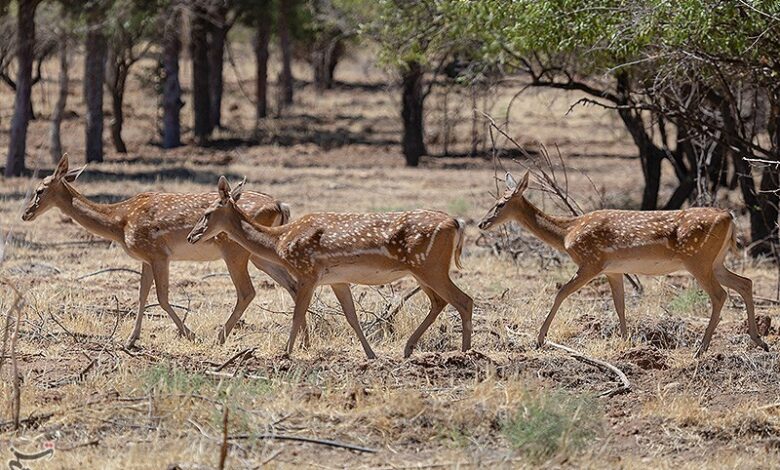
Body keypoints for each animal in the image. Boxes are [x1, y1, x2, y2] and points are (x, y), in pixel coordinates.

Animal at [21, 156, 298, 346]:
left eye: (39, 190)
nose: (26, 214)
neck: (119, 222)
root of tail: (280, 205)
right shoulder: (145, 257)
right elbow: (142, 294)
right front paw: (131, 339)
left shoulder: (158, 253)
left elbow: (162, 297)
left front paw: (190, 335)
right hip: (260, 255)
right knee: (292, 284)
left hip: (235, 250)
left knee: (247, 291)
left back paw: (219, 337)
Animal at [187, 174, 476, 358]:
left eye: (207, 213)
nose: (191, 236)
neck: (280, 242)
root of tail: (457, 223)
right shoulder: (337, 279)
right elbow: (351, 317)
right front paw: (370, 354)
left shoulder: (307, 271)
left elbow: (297, 314)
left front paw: (286, 353)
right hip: (422, 270)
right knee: (440, 301)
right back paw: (409, 348)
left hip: (430, 266)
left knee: (463, 299)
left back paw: (466, 353)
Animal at [478, 171, 772, 358]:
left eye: (501, 203)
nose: (482, 223)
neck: (567, 234)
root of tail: (729, 216)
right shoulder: (613, 270)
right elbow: (619, 304)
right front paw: (626, 341)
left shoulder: (591, 261)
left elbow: (561, 291)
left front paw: (539, 339)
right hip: (715, 261)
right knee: (745, 283)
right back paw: (759, 341)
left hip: (697, 259)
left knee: (720, 295)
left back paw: (702, 348)